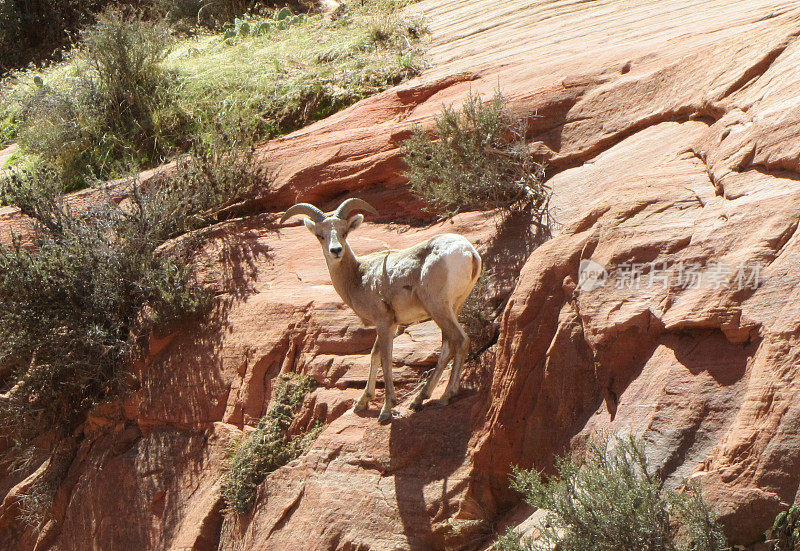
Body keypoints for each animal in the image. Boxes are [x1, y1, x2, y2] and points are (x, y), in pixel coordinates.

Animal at [282, 198, 482, 422]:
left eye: (344, 232)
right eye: (320, 235)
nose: (336, 250)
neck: (357, 276)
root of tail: (469, 253)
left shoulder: (383, 323)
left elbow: (386, 359)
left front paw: (386, 410)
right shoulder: (390, 324)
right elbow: (375, 354)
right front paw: (362, 403)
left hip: (439, 308)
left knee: (460, 341)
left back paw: (446, 396)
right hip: (453, 308)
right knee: (448, 346)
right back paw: (419, 400)